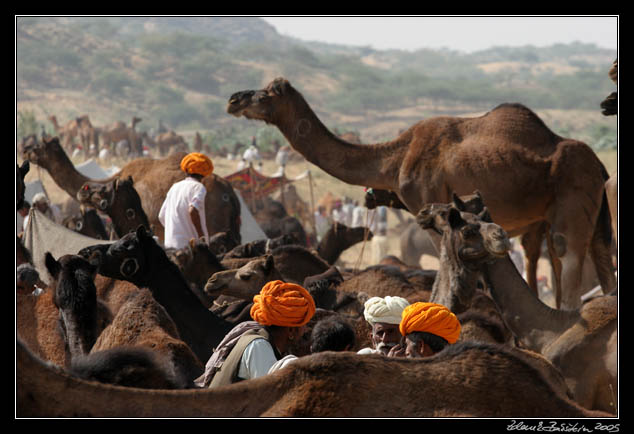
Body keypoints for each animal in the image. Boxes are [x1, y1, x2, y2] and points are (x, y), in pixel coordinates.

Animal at [227, 77, 612, 308]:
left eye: (265, 93)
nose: (233, 99)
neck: (396, 157)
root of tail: (599, 165)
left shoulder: (426, 205)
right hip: (590, 211)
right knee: (603, 266)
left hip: (573, 198)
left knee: (568, 263)